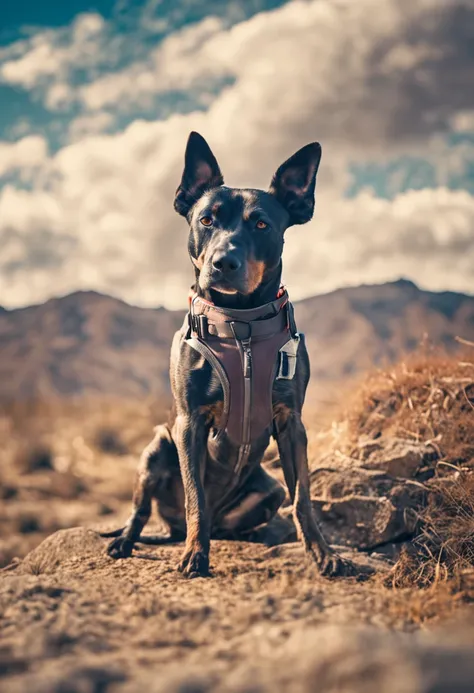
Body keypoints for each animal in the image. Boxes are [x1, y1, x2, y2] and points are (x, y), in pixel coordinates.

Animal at [103, 132, 356, 576]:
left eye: (262, 224)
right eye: (207, 220)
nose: (224, 263)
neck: (241, 326)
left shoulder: (292, 422)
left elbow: (303, 498)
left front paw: (323, 553)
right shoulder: (189, 424)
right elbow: (196, 498)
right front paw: (195, 555)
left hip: (268, 490)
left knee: (247, 514)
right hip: (156, 447)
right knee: (145, 510)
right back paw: (128, 542)